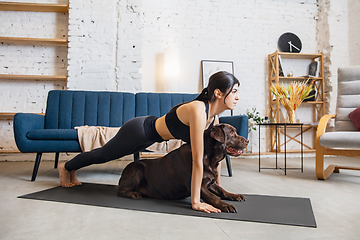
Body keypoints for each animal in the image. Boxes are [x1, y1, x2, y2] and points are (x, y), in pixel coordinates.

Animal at [116, 124, 249, 212]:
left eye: (235, 132)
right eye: (231, 133)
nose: (247, 141)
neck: (210, 159)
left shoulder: (211, 182)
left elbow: (222, 190)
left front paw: (234, 195)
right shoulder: (198, 185)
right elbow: (214, 197)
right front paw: (225, 205)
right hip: (136, 167)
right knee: (120, 190)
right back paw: (134, 194)